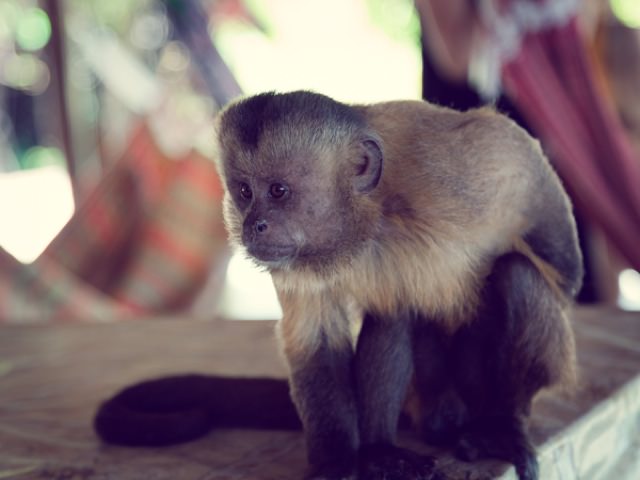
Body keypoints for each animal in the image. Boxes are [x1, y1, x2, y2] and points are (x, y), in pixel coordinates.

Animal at [94, 91, 580, 480]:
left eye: (279, 190)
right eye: (245, 192)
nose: (253, 226)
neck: (374, 214)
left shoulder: (456, 172)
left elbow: (526, 172)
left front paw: (566, 275)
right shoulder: (293, 261)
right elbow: (317, 338)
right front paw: (337, 460)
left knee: (517, 277)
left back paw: (499, 425)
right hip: (428, 398)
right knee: (396, 314)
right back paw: (384, 448)